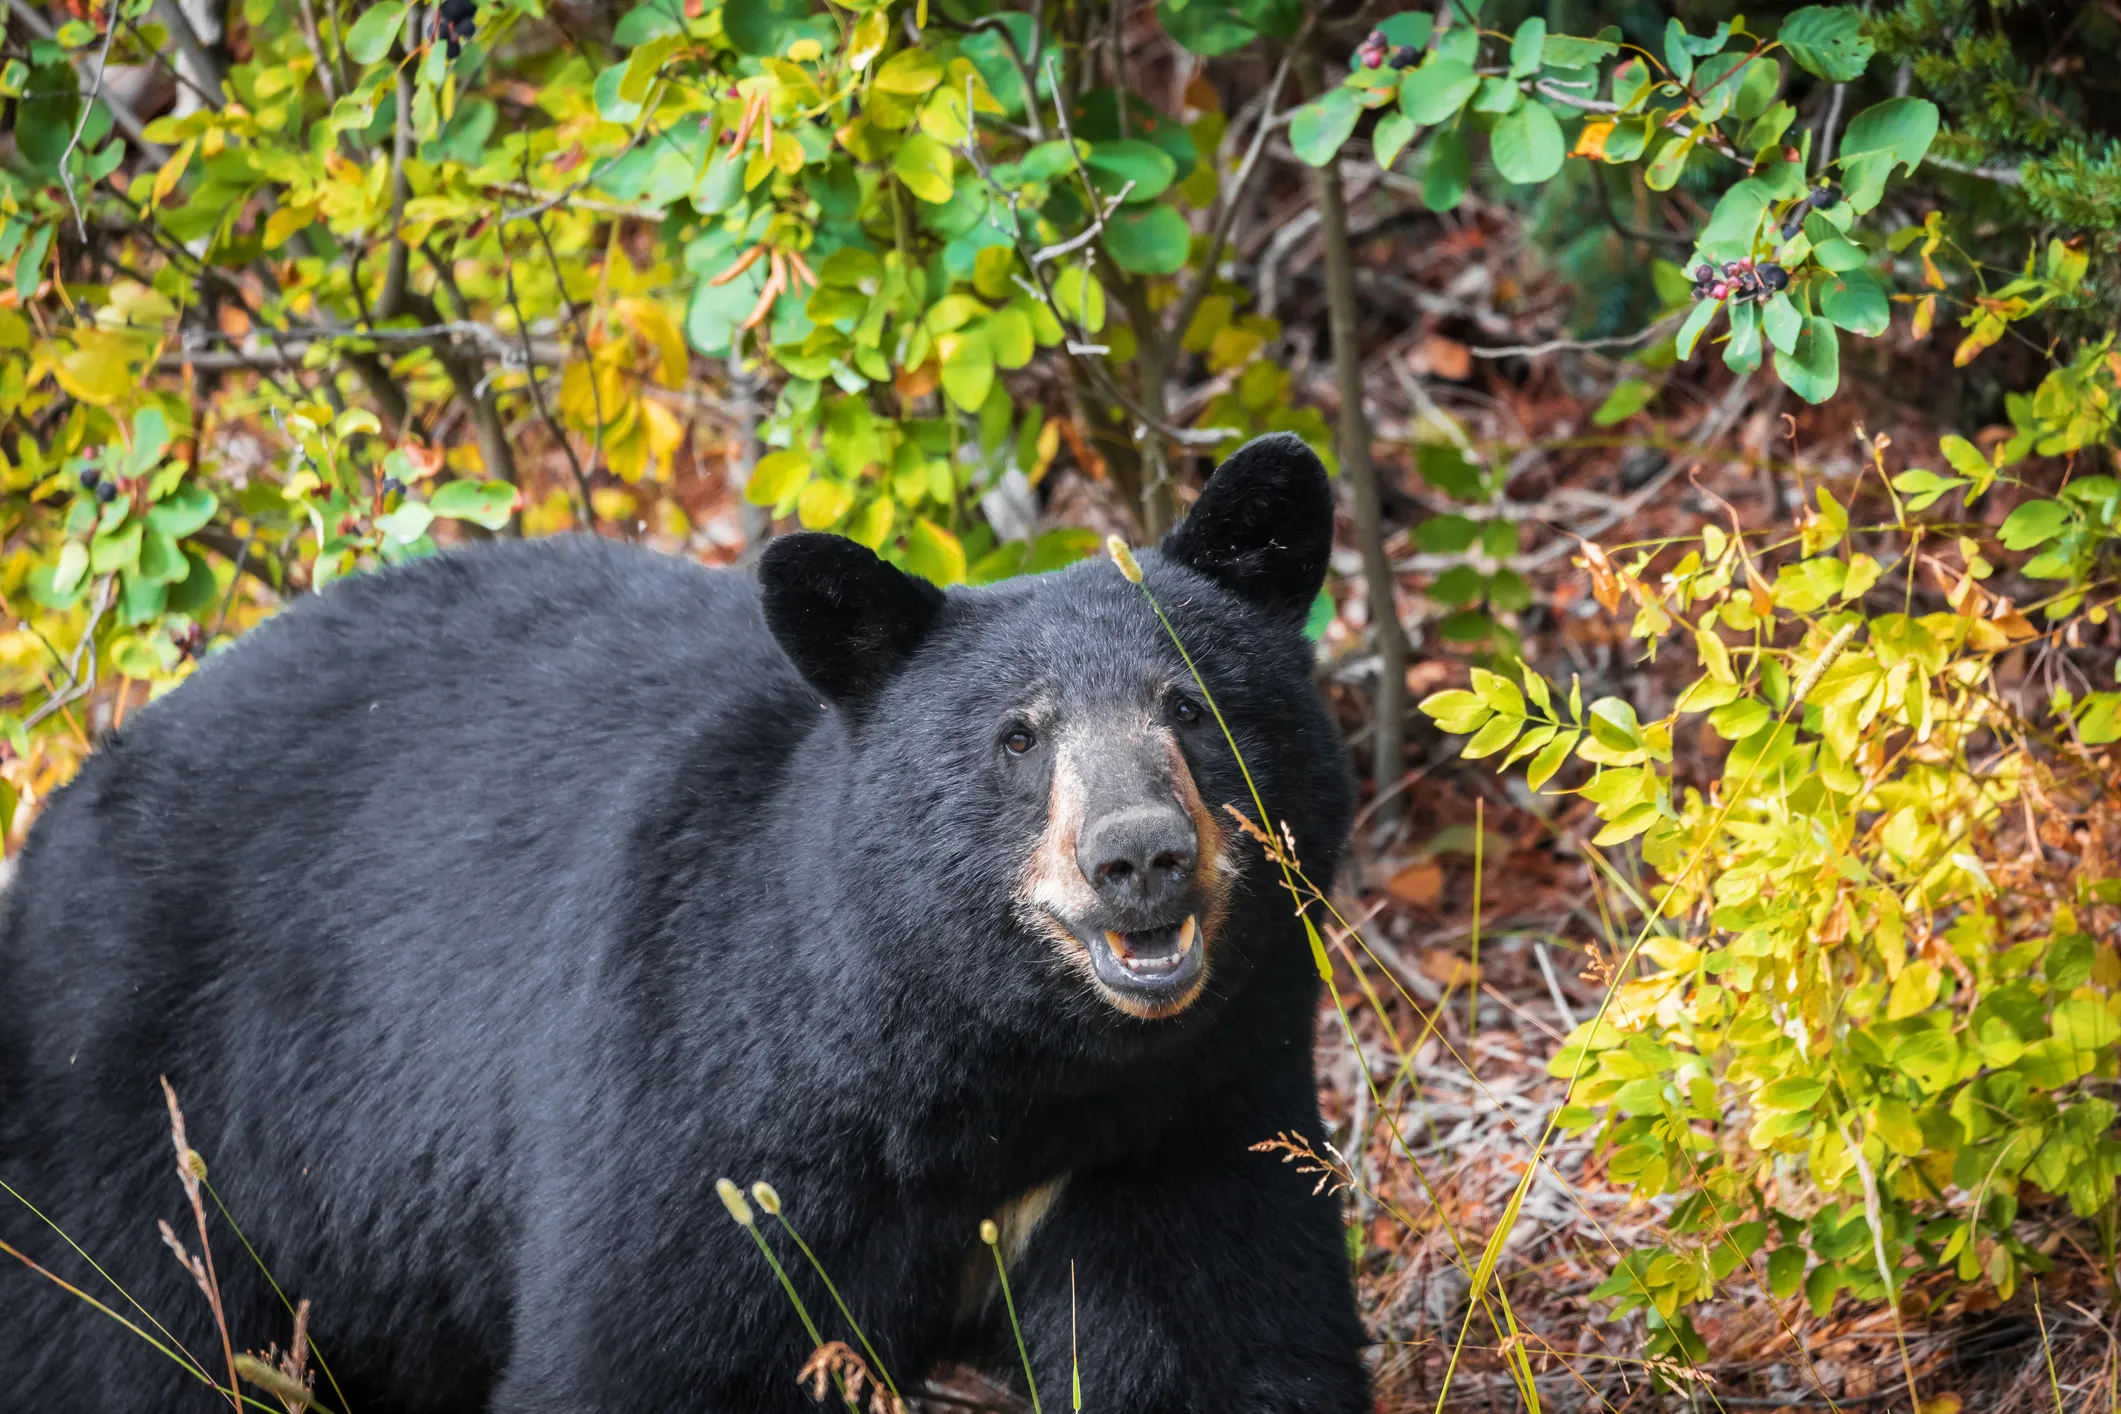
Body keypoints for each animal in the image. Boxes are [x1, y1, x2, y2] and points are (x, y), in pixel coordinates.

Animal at [0, 432, 1367, 1414]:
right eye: (1018, 736)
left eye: (1188, 706)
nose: (1138, 857)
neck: (998, 1080)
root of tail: (57, 818)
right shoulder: (704, 1094)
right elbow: (651, 1347)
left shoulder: (1184, 1125)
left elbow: (1225, 1339)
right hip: (143, 1119)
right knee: (111, 1343)